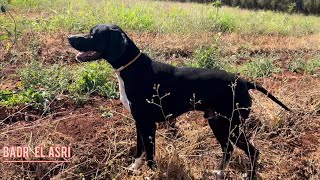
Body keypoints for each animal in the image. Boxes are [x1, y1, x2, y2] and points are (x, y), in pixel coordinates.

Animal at [69, 24, 292, 180]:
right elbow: (139, 149)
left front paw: (152, 173)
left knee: (253, 151)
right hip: (218, 123)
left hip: (233, 125)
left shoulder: (148, 125)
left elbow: (150, 155)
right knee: (228, 149)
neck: (133, 69)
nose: (69, 37)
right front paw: (133, 168)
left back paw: (248, 175)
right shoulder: (139, 123)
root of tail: (244, 81)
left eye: (94, 35)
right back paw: (219, 173)